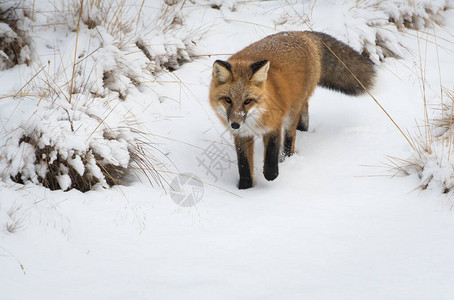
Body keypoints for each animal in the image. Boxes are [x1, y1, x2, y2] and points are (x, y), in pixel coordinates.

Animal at [209, 31, 376, 190]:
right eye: (228, 100)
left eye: (247, 101)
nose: (235, 124)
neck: (254, 119)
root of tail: (302, 34)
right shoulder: (242, 136)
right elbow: (243, 165)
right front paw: (245, 188)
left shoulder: (274, 124)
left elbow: (271, 153)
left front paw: (271, 174)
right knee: (305, 107)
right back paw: (303, 129)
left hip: (291, 112)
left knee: (291, 135)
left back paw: (287, 157)